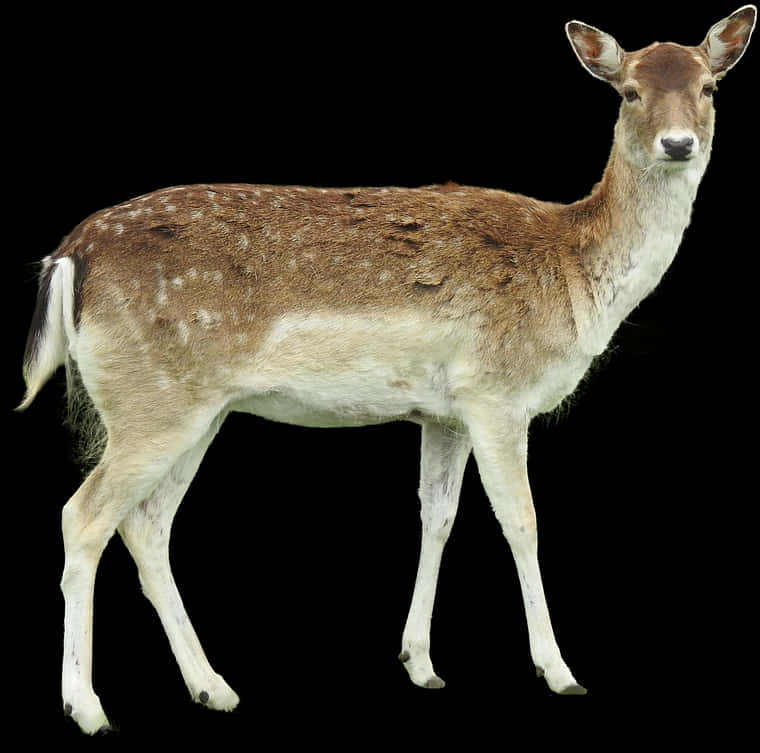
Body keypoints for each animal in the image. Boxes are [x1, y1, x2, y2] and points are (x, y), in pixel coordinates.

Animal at [17, 7, 756, 736]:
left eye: (708, 88)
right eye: (628, 91)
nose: (678, 144)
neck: (575, 273)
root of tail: (68, 257)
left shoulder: (445, 411)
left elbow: (438, 514)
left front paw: (421, 662)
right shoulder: (498, 393)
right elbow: (521, 520)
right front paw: (559, 671)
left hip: (197, 410)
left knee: (146, 524)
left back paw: (213, 687)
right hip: (151, 401)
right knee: (84, 516)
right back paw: (88, 707)